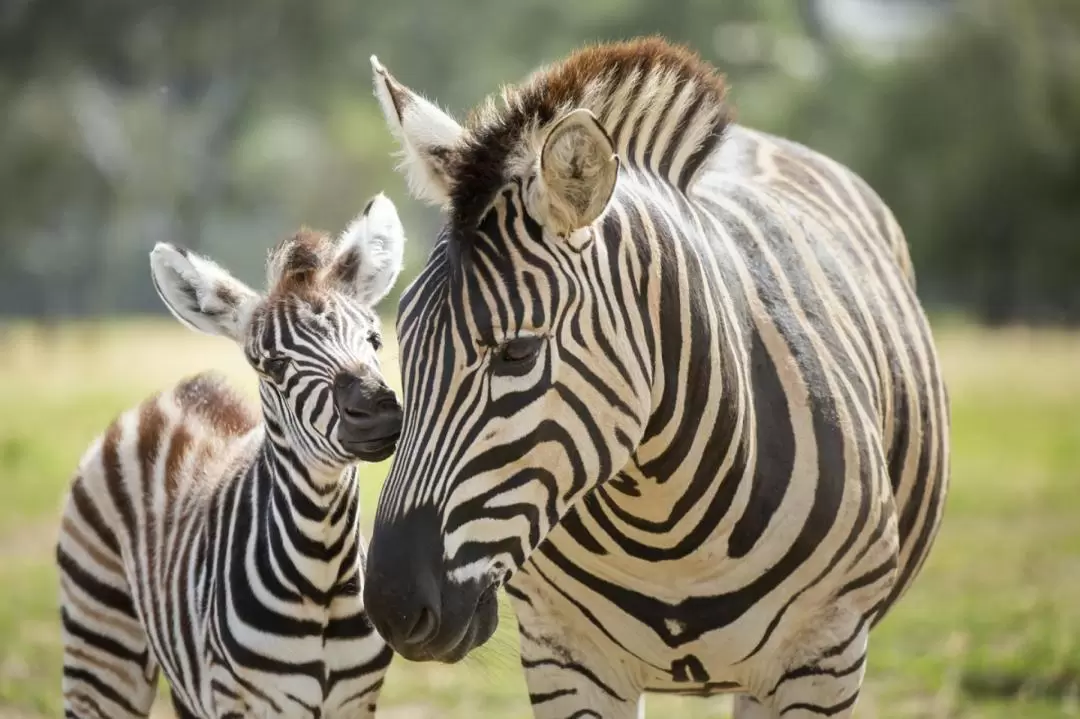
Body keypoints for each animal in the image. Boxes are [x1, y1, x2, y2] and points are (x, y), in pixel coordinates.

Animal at [54, 194, 403, 716]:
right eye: (273, 365)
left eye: (374, 340)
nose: (377, 412)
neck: (322, 567)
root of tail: (173, 394)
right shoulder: (243, 701)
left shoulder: (357, 701)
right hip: (100, 645)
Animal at [360, 37, 946, 716]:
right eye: (400, 341)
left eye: (518, 353)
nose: (393, 608)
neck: (667, 529)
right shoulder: (566, 655)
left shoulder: (824, 653)